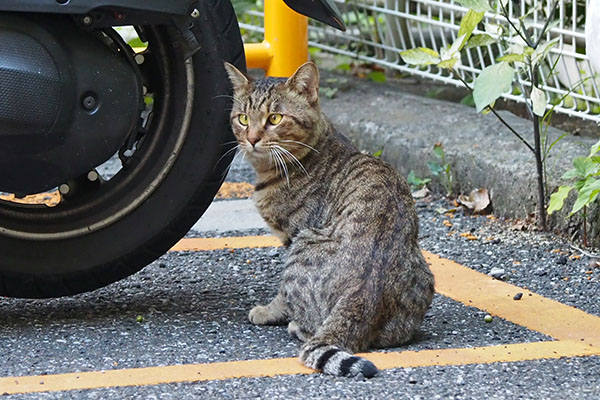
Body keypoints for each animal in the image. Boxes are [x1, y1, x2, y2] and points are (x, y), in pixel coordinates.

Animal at [223, 61, 434, 376]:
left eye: (275, 118)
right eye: (243, 118)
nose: (252, 139)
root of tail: (362, 294)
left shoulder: (293, 234)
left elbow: (282, 294)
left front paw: (268, 312)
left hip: (304, 245)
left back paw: (297, 326)